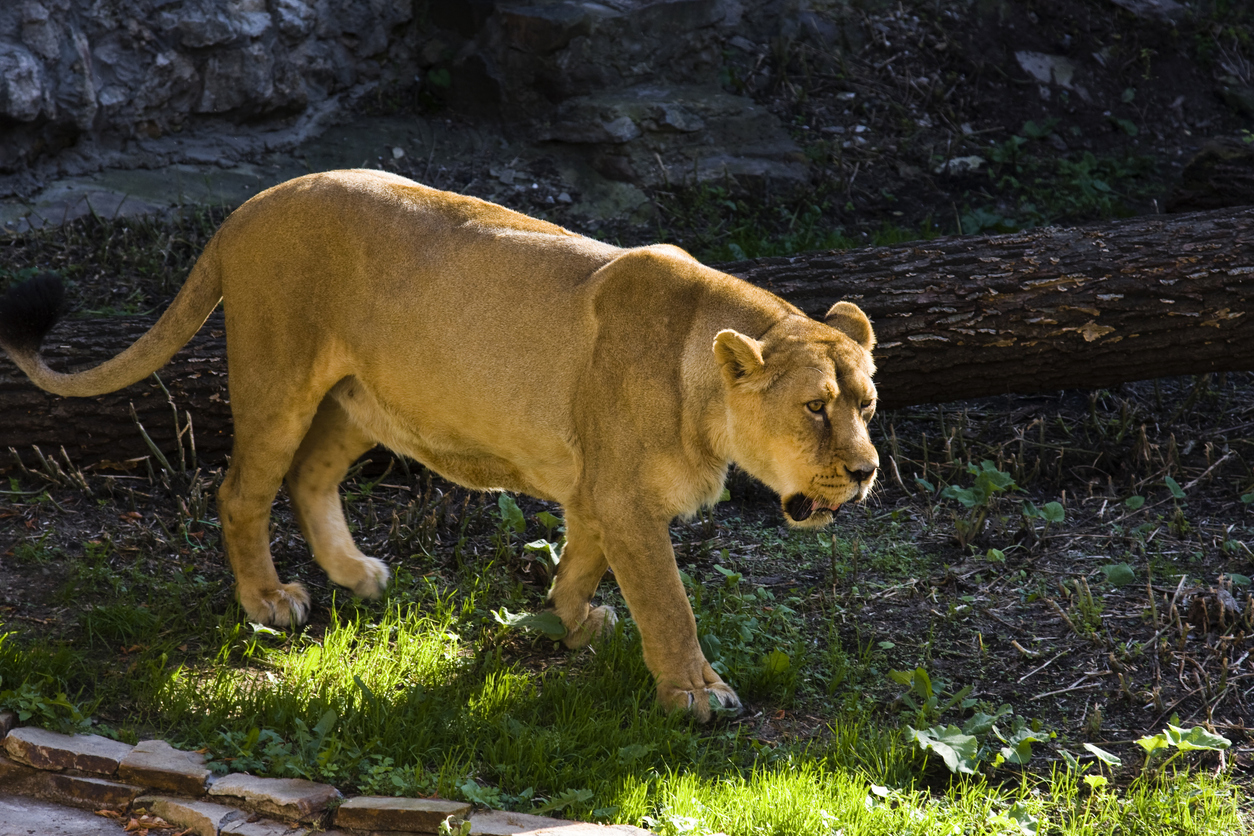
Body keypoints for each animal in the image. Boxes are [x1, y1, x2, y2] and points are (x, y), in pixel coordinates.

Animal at [0, 170, 879, 721]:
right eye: (814, 408)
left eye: (867, 403)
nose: (867, 472)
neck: (701, 380)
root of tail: (247, 206)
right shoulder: (627, 499)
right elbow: (669, 604)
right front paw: (696, 695)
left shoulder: (600, 491)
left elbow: (579, 558)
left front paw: (568, 620)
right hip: (278, 378)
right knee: (241, 490)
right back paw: (269, 602)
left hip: (360, 401)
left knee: (308, 478)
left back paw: (355, 573)